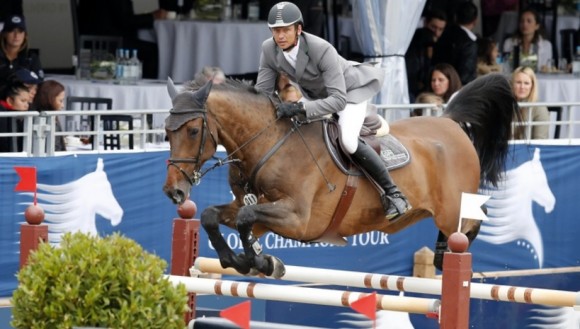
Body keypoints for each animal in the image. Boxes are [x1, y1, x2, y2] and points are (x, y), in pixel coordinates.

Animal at [161, 73, 520, 276]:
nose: (173, 192)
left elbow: (246, 218)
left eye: (193, 130)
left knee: (472, 222)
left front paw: (262, 263)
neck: (269, 143)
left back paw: (447, 255)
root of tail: (448, 120)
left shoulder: (299, 219)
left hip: (453, 207)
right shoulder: (255, 209)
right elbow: (215, 216)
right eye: (166, 132)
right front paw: (242, 260)